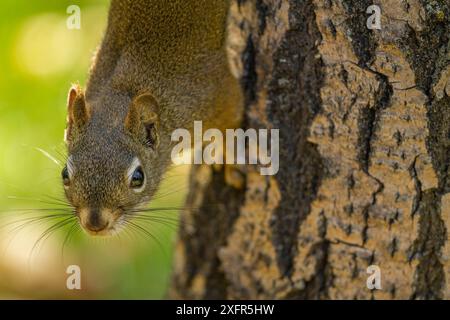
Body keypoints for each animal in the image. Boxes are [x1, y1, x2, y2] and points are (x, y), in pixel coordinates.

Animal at [63, 0, 243, 235]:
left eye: (138, 178)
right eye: (64, 174)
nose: (95, 224)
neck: (123, 91)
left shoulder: (215, 92)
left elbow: (231, 120)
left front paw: (227, 154)